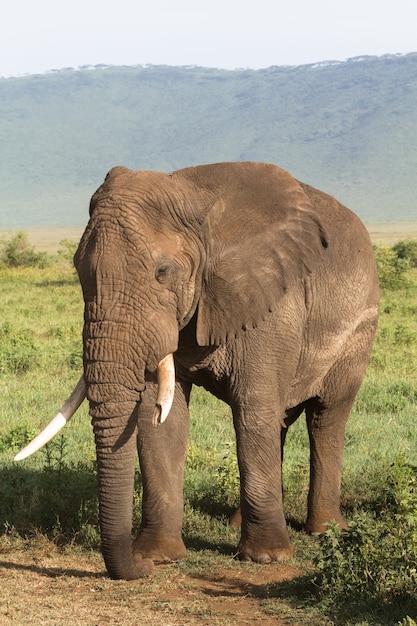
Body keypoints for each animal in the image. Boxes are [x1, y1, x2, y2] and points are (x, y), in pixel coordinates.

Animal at [17, 160, 378, 576]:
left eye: (162, 272)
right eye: (78, 270)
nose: (139, 569)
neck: (193, 198)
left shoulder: (269, 303)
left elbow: (252, 409)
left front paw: (268, 558)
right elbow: (159, 418)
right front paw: (159, 556)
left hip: (359, 326)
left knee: (325, 417)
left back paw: (324, 529)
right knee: (281, 420)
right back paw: (238, 522)